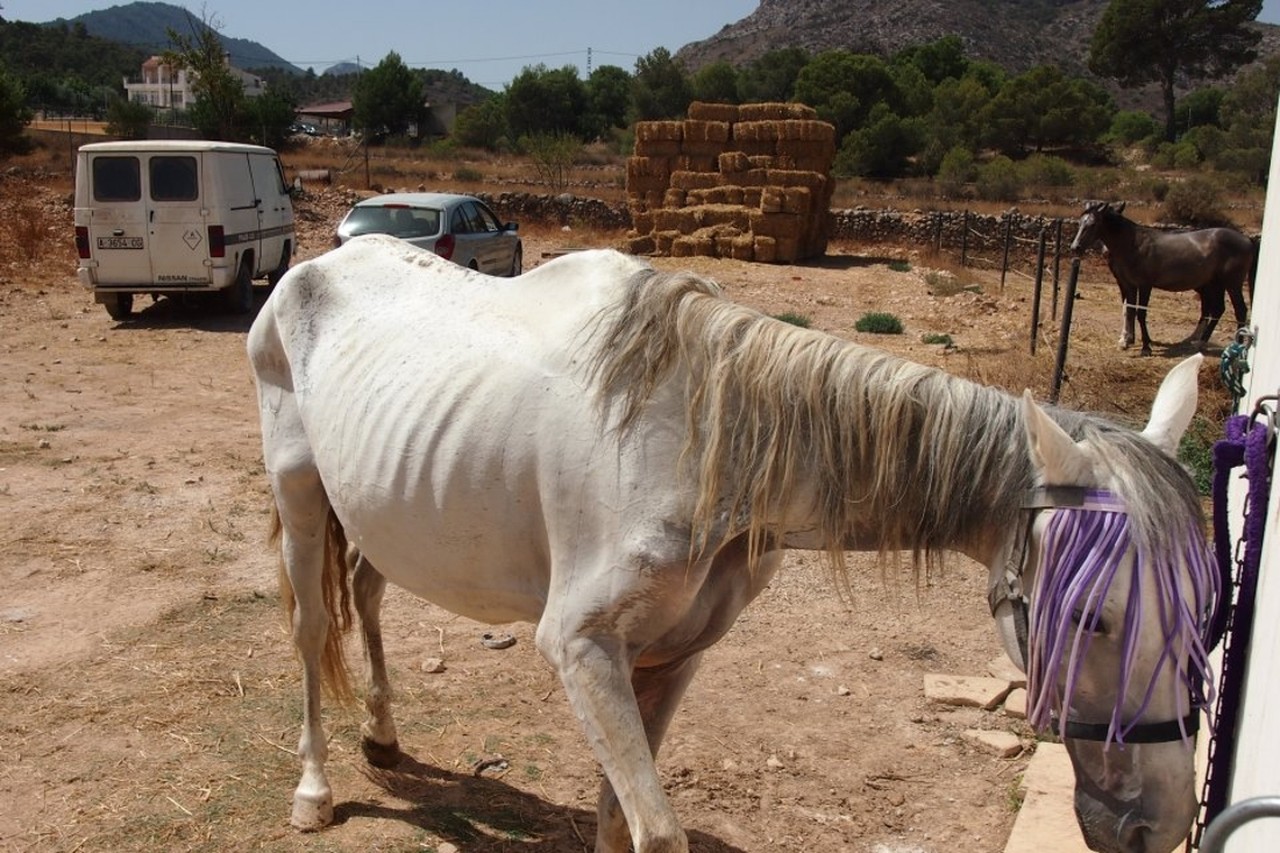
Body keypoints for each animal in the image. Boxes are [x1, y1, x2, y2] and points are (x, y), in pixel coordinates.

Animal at [247, 234, 1218, 850]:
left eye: (1208, 611)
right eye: (1092, 617)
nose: (1162, 824)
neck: (708, 440)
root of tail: (315, 263)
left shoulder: (672, 655)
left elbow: (619, 822)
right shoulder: (580, 647)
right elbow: (658, 831)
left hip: (376, 510)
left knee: (367, 593)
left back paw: (382, 738)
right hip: (299, 492)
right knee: (307, 633)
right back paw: (314, 791)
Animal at [1064, 201, 1254, 353]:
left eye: (1093, 224)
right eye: (1080, 223)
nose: (1075, 247)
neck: (1133, 245)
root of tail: (1247, 240)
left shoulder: (1144, 285)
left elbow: (1140, 313)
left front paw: (1145, 347)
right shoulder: (1128, 284)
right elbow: (1128, 310)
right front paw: (1126, 341)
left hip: (1230, 284)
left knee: (1239, 310)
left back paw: (1233, 345)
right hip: (1214, 284)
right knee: (1217, 309)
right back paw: (1198, 342)